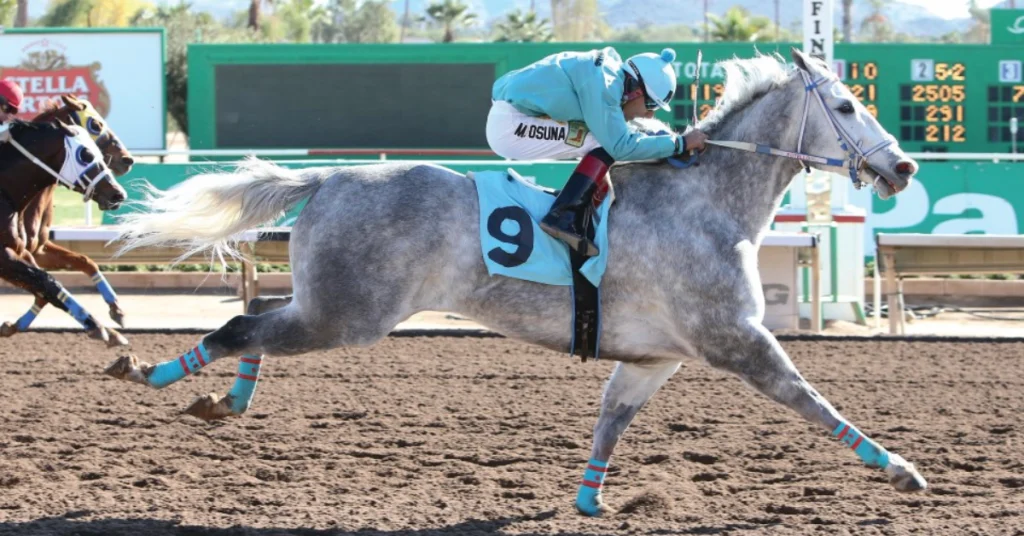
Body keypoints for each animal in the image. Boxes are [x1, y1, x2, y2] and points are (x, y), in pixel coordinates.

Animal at [0, 95, 137, 336]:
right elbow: (47, 284)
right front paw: (99, 328)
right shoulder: (7, 255)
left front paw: (116, 310)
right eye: (96, 124)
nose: (127, 160)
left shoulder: (32, 248)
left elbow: (82, 262)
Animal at [106, 48, 928, 515]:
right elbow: (812, 401)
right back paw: (154, 372)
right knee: (242, 324)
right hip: (351, 316)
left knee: (263, 315)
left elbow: (611, 421)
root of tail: (332, 174)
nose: (904, 166)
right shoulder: (738, 342)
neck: (706, 201)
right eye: (847, 105)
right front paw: (900, 470)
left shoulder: (656, 357)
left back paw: (229, 395)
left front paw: (591, 501)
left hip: (332, 305)